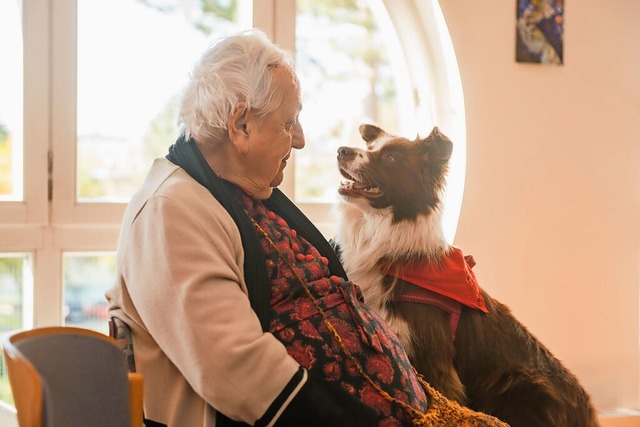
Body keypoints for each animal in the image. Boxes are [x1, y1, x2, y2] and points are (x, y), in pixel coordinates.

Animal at [336, 124, 600, 427]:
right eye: (371, 148)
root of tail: (588, 414)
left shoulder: (432, 358)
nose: (341, 150)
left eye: (391, 158)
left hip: (520, 382)